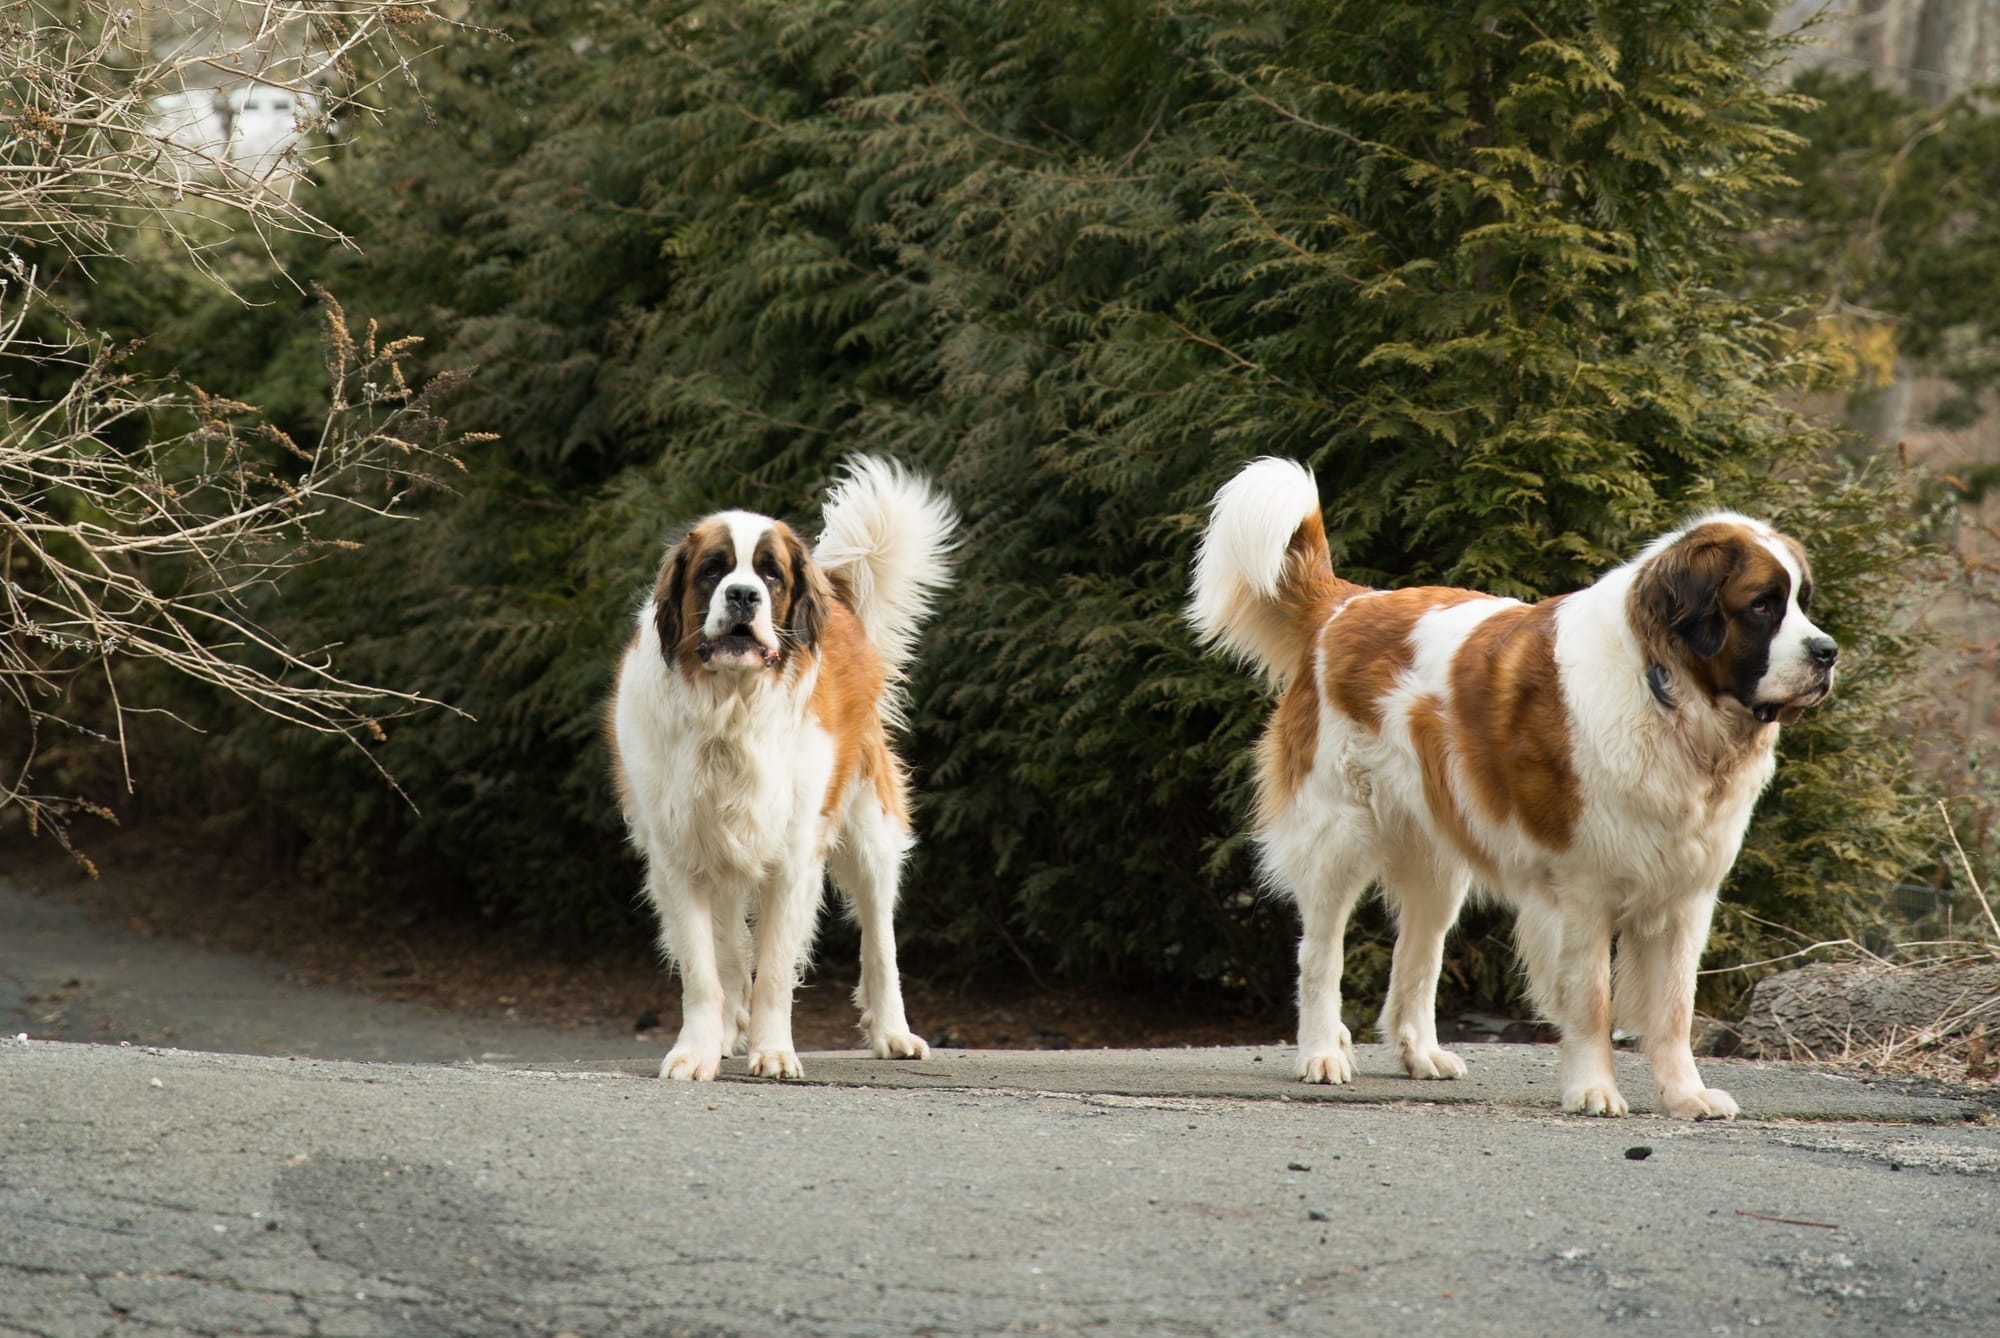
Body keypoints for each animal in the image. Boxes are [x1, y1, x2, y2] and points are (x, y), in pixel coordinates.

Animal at [604, 454, 956, 1080]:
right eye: (713, 571)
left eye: (770, 576)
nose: (743, 596)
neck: (729, 708)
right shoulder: (679, 855)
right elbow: (704, 968)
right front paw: (697, 1050)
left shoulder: (793, 855)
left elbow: (773, 970)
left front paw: (772, 1051)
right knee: (726, 947)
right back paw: (725, 1032)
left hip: (869, 824)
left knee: (879, 934)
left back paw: (893, 1032)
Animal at [1184, 460, 1840, 1120]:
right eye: (1762, 606)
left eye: (1803, 604)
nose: (1828, 652)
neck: (1663, 692)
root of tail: (1346, 603)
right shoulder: (1584, 891)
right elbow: (1592, 1000)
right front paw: (1594, 1089)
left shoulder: (1685, 897)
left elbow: (1674, 1007)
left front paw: (1686, 1095)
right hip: (1339, 836)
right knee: (1320, 952)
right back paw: (1322, 1052)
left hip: (1439, 861)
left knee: (1418, 955)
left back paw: (1420, 1052)